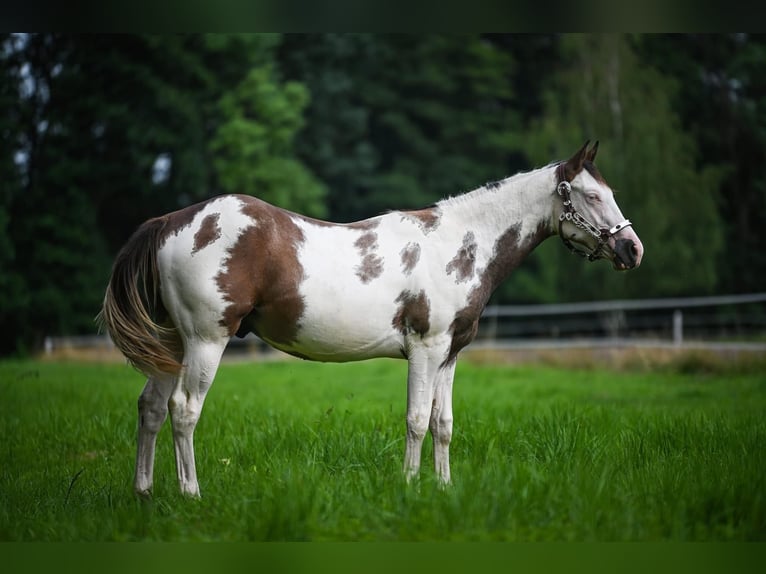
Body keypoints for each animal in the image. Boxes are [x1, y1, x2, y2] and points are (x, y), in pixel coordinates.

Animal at [99, 142, 644, 498]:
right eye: (591, 196)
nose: (631, 249)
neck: (460, 245)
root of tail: (170, 221)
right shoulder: (425, 349)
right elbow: (417, 421)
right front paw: (409, 486)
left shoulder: (449, 355)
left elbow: (444, 423)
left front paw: (443, 488)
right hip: (205, 341)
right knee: (184, 410)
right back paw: (191, 493)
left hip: (171, 346)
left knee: (151, 408)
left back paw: (145, 492)